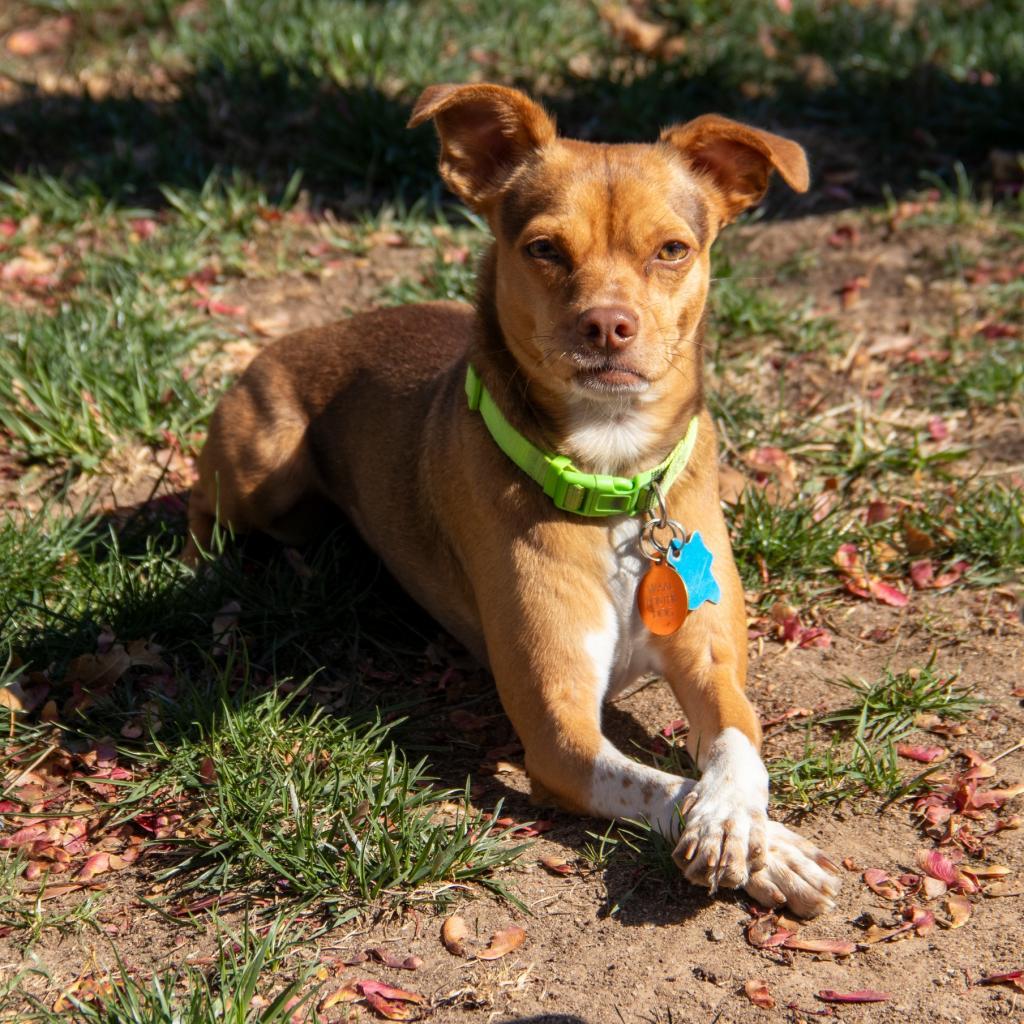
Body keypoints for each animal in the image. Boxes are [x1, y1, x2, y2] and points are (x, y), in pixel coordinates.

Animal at [184, 86, 839, 921]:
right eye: (544, 249)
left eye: (672, 249)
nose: (607, 325)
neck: (613, 482)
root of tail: (311, 330)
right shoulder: (561, 739)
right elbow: (664, 786)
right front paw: (763, 845)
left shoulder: (710, 659)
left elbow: (735, 749)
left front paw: (738, 826)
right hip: (262, 473)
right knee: (205, 511)